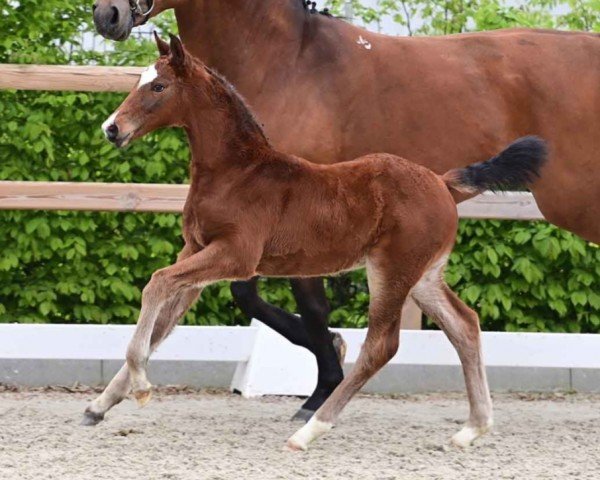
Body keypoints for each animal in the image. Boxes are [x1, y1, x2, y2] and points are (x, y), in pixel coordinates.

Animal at [91, 0, 596, 420]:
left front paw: (322, 385)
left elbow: (302, 306)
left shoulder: (268, 242)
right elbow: (198, 308)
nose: (107, 14)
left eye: (158, 85)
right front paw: (104, 402)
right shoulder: (225, 245)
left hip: (568, 203)